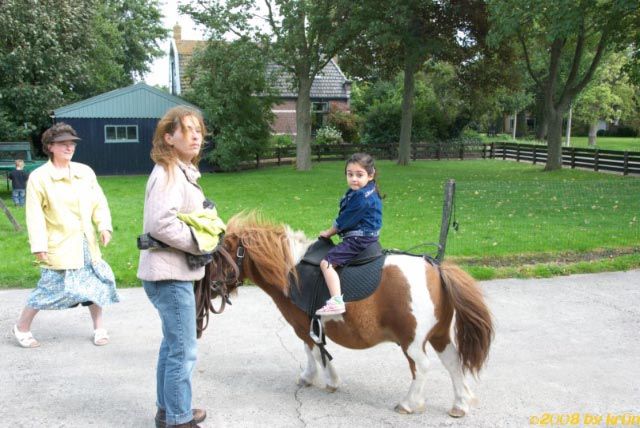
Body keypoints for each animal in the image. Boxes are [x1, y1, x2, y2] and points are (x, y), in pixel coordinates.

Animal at [221, 212, 496, 416]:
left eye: (221, 256)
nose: (214, 287)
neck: (292, 271)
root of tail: (436, 269)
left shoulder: (303, 328)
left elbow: (313, 353)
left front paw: (318, 379)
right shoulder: (312, 328)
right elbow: (318, 352)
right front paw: (323, 379)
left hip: (412, 341)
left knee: (421, 366)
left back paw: (409, 403)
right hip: (439, 335)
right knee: (453, 362)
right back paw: (460, 404)